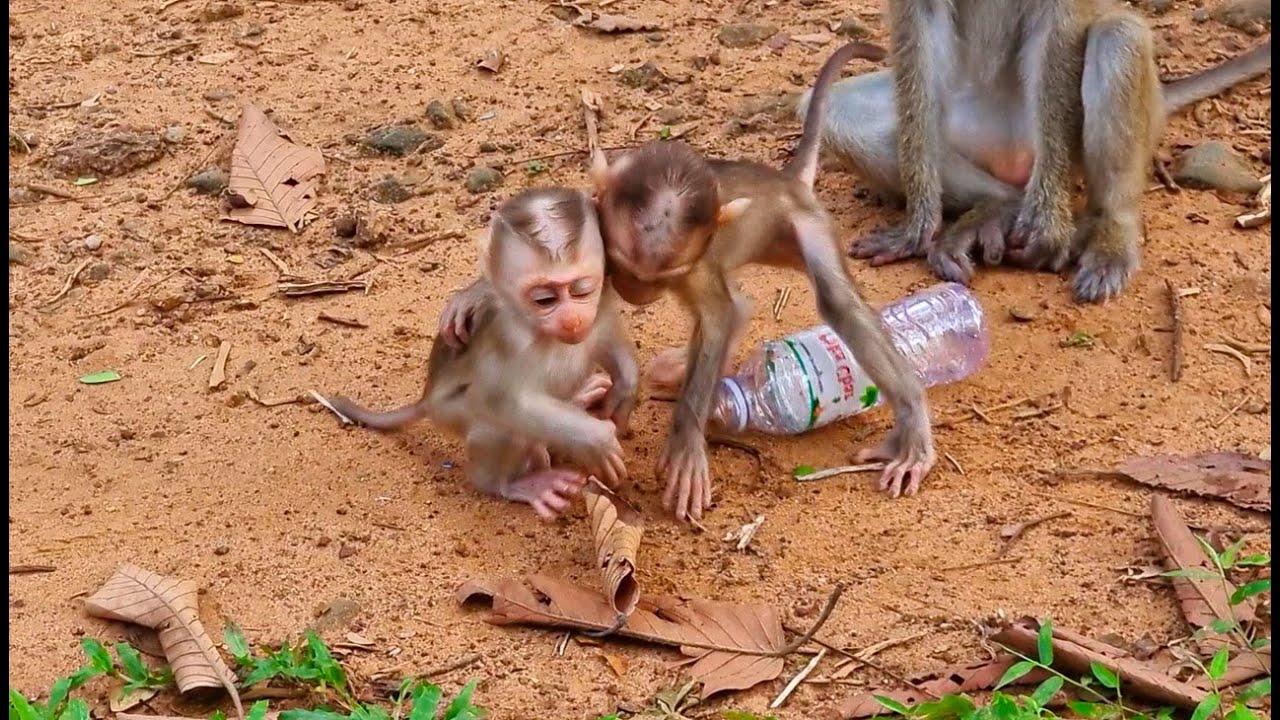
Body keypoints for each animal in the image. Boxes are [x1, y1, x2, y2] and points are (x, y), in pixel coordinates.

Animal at [323, 187, 639, 521]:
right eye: (545, 299)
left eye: (582, 290)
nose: (572, 320)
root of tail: (426, 399)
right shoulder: (508, 338)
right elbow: (498, 399)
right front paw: (594, 438)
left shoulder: (602, 300)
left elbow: (606, 339)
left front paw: (625, 388)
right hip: (451, 412)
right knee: (498, 424)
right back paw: (511, 483)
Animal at [796, 1, 1272, 303]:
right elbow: (919, 24)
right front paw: (918, 223)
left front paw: (1050, 227)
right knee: (834, 111)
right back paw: (996, 208)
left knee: (1118, 36)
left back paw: (1111, 237)